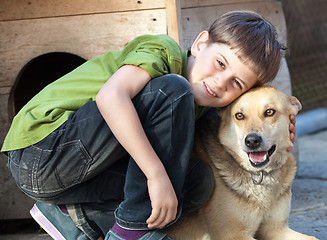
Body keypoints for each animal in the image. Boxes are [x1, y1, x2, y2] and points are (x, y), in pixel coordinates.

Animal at [168, 86, 320, 240]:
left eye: (269, 112)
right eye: (239, 115)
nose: (252, 141)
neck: (260, 174)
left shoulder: (276, 228)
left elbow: (312, 238)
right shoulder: (233, 234)